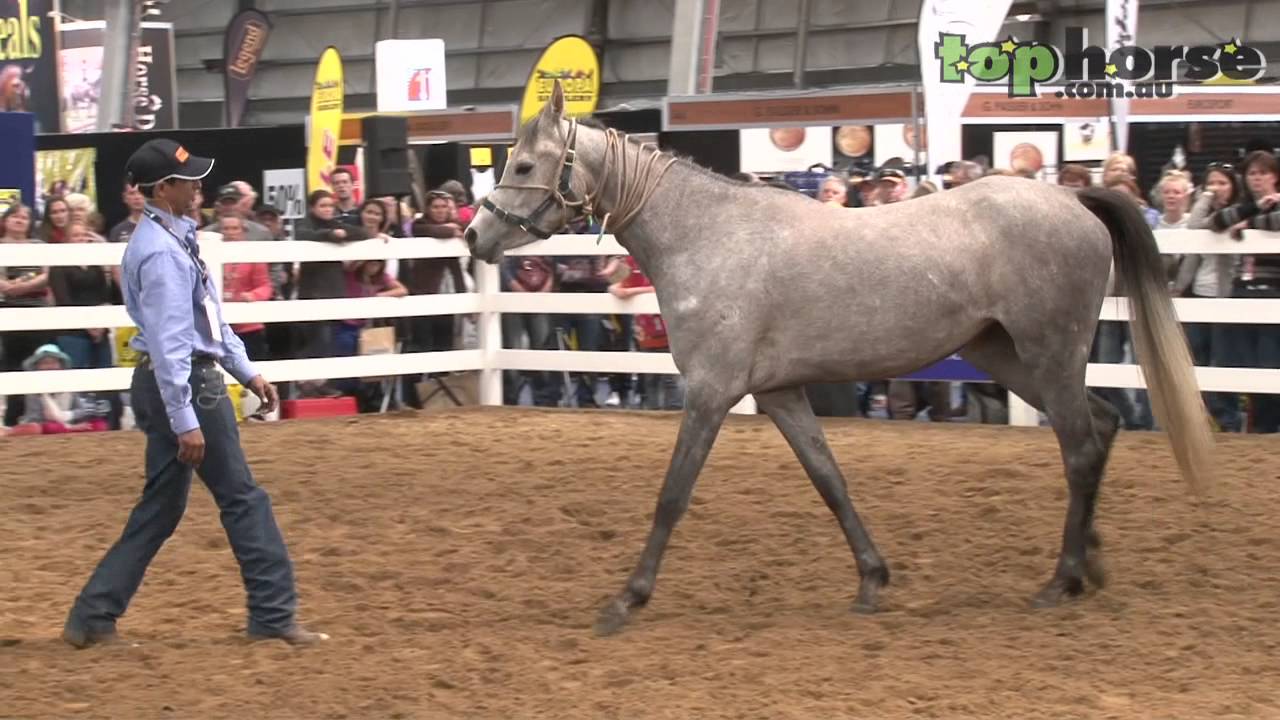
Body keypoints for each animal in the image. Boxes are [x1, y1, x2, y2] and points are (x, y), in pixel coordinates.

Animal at [464, 80, 1216, 637]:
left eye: (524, 165)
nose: (474, 237)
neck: (707, 238)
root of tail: (1073, 198)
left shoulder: (710, 392)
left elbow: (672, 496)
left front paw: (627, 599)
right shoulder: (780, 394)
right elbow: (831, 481)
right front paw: (872, 580)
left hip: (1048, 352)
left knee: (1082, 447)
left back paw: (1060, 580)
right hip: (1009, 358)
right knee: (1101, 425)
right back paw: (1090, 565)